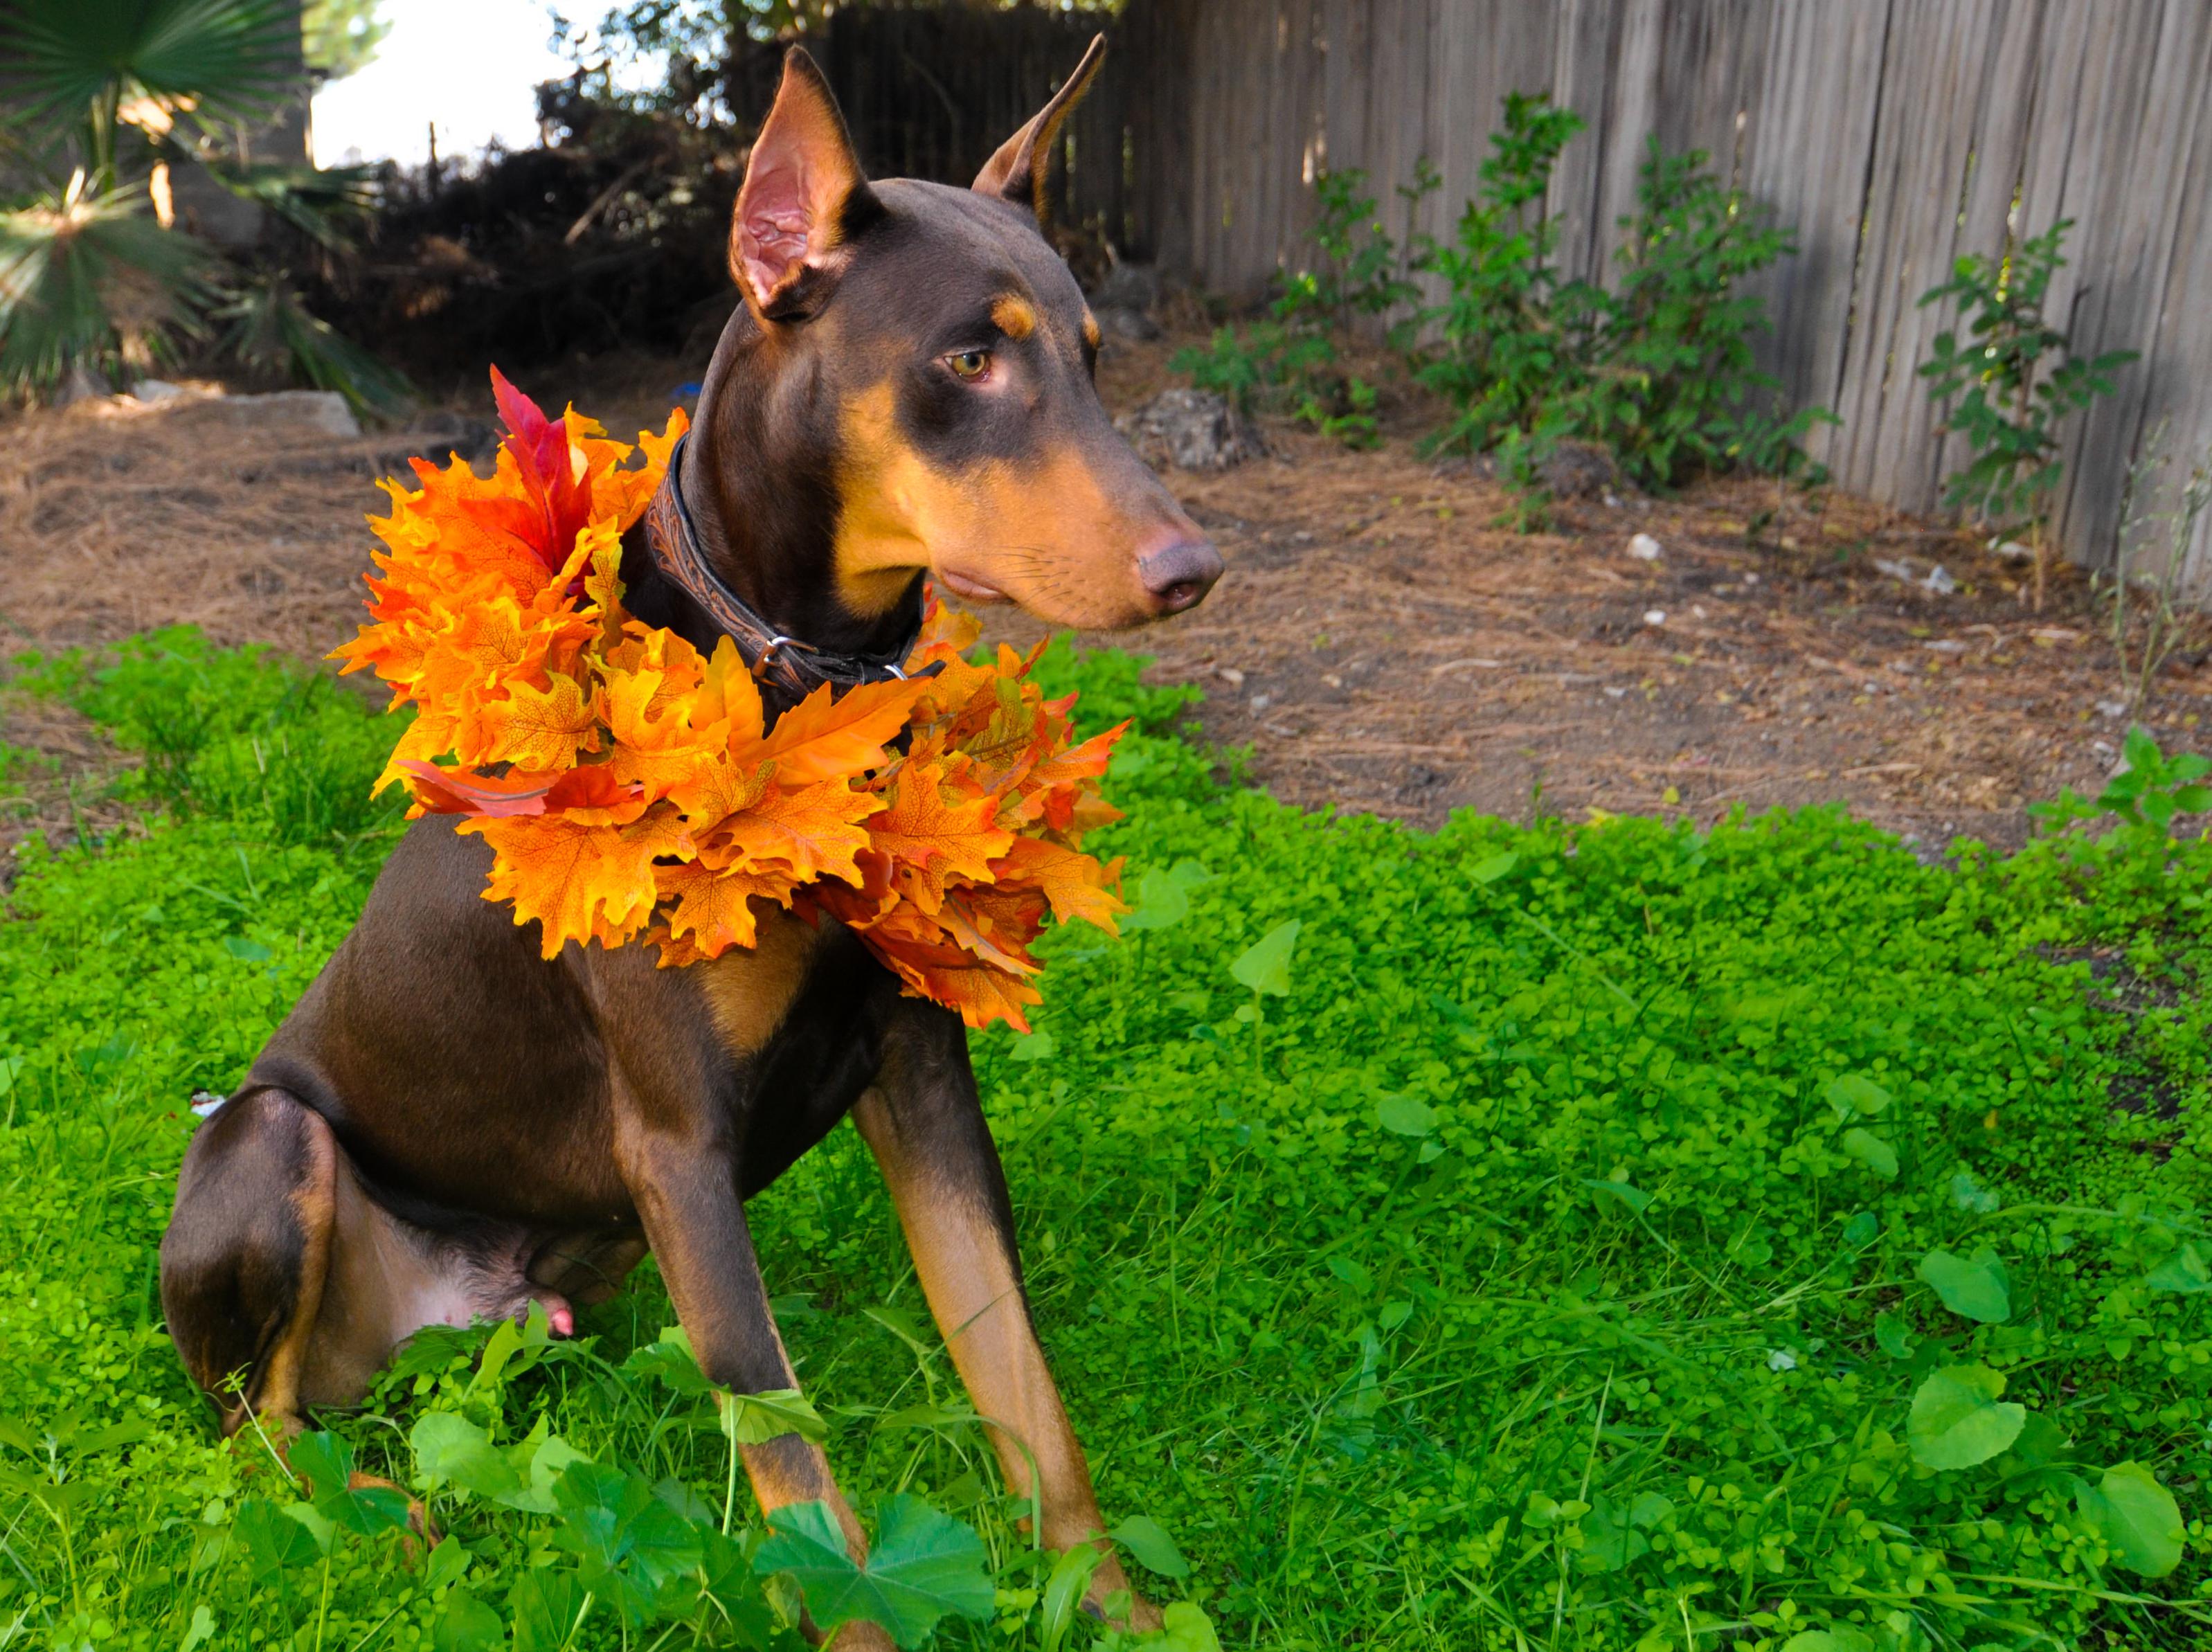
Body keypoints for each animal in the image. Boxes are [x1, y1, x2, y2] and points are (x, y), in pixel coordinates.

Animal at [163, 38, 1221, 1645]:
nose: (1192, 570)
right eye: (967, 361)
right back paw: (380, 1517)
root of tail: (430, 1320)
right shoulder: (678, 1150)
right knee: (259, 1433)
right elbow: (798, 1476)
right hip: (265, 1143)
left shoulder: (924, 1072)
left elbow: (1021, 1383)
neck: (808, 684)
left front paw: (1108, 1606)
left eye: (1095, 355)